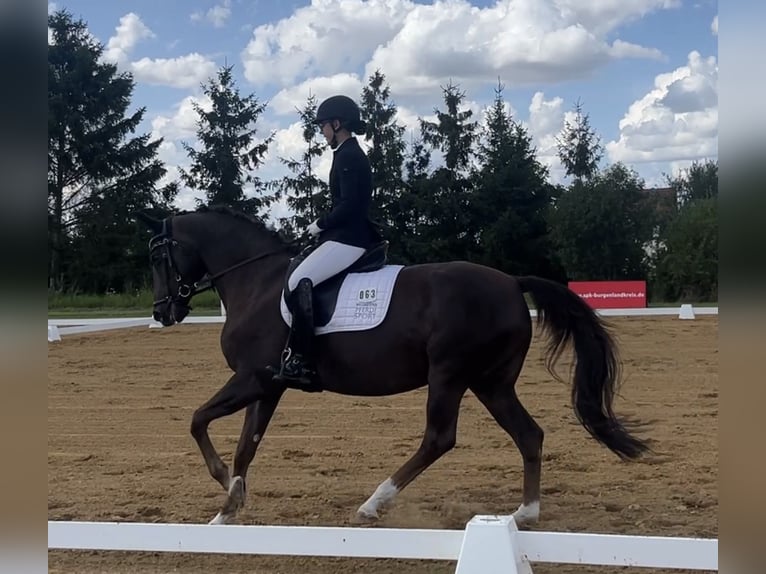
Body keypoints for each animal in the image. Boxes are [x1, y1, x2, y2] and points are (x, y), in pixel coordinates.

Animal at [137, 205, 650, 526]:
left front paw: (226, 486)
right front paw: (228, 507)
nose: (162, 312)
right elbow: (246, 446)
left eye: (159, 254)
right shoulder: (269, 385)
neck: (257, 283)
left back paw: (373, 503)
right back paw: (525, 513)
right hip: (491, 382)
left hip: (449, 375)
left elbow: (197, 420)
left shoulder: (251, 378)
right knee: (528, 434)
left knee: (439, 439)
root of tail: (511, 282)